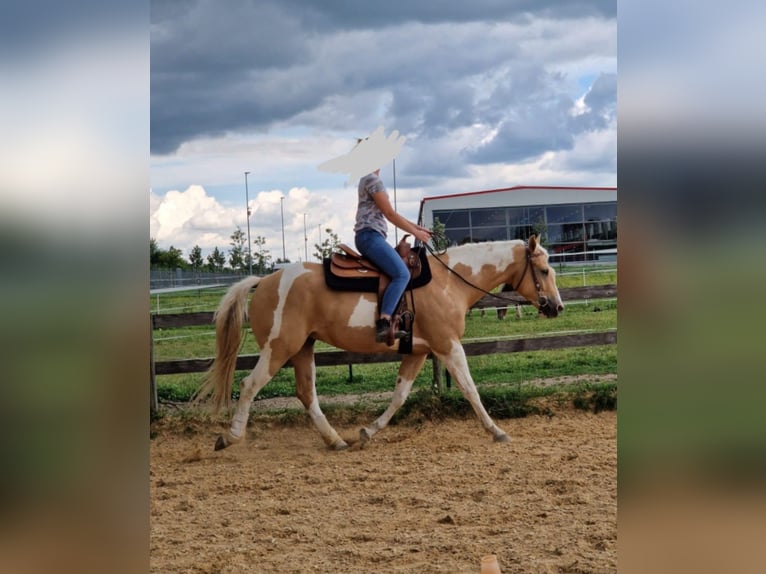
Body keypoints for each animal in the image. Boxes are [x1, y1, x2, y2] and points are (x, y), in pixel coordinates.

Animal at [197, 235, 564, 451]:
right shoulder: (447, 345)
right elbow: (470, 388)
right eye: (545, 271)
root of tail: (264, 281)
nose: (557, 307)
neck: (449, 282)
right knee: (249, 384)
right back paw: (230, 436)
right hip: (279, 348)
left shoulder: (419, 351)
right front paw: (496, 430)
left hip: (303, 348)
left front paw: (368, 431)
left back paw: (335, 440)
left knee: (306, 393)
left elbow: (400, 394)